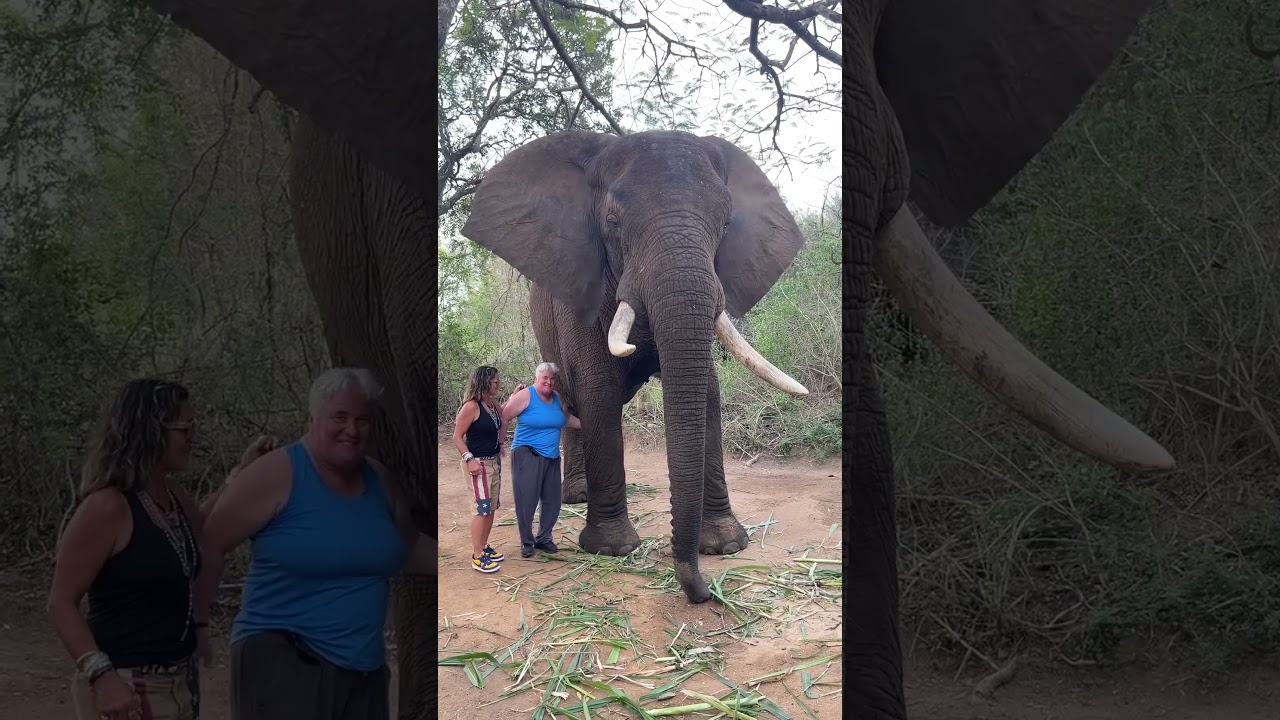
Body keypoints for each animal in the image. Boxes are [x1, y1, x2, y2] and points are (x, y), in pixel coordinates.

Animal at [459, 130, 812, 602]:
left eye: (724, 225)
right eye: (612, 223)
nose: (704, 591)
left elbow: (708, 393)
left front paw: (726, 544)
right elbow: (598, 393)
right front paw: (612, 549)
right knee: (569, 396)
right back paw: (576, 496)